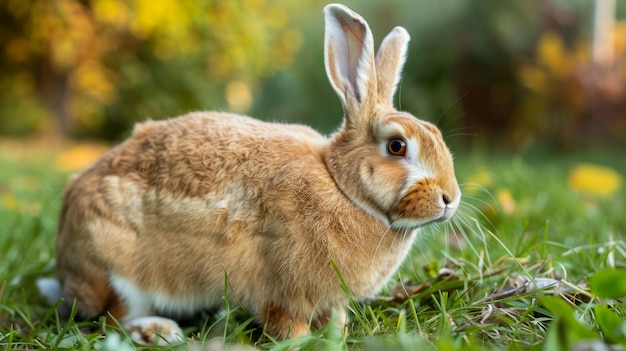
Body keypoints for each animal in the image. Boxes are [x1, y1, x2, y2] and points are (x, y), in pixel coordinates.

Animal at [52, 2, 458, 344]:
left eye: (436, 134)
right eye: (397, 146)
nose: (450, 199)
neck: (341, 186)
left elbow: (333, 315)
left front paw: (336, 334)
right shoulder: (278, 289)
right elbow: (283, 319)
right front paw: (301, 341)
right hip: (119, 272)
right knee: (112, 319)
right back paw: (160, 331)